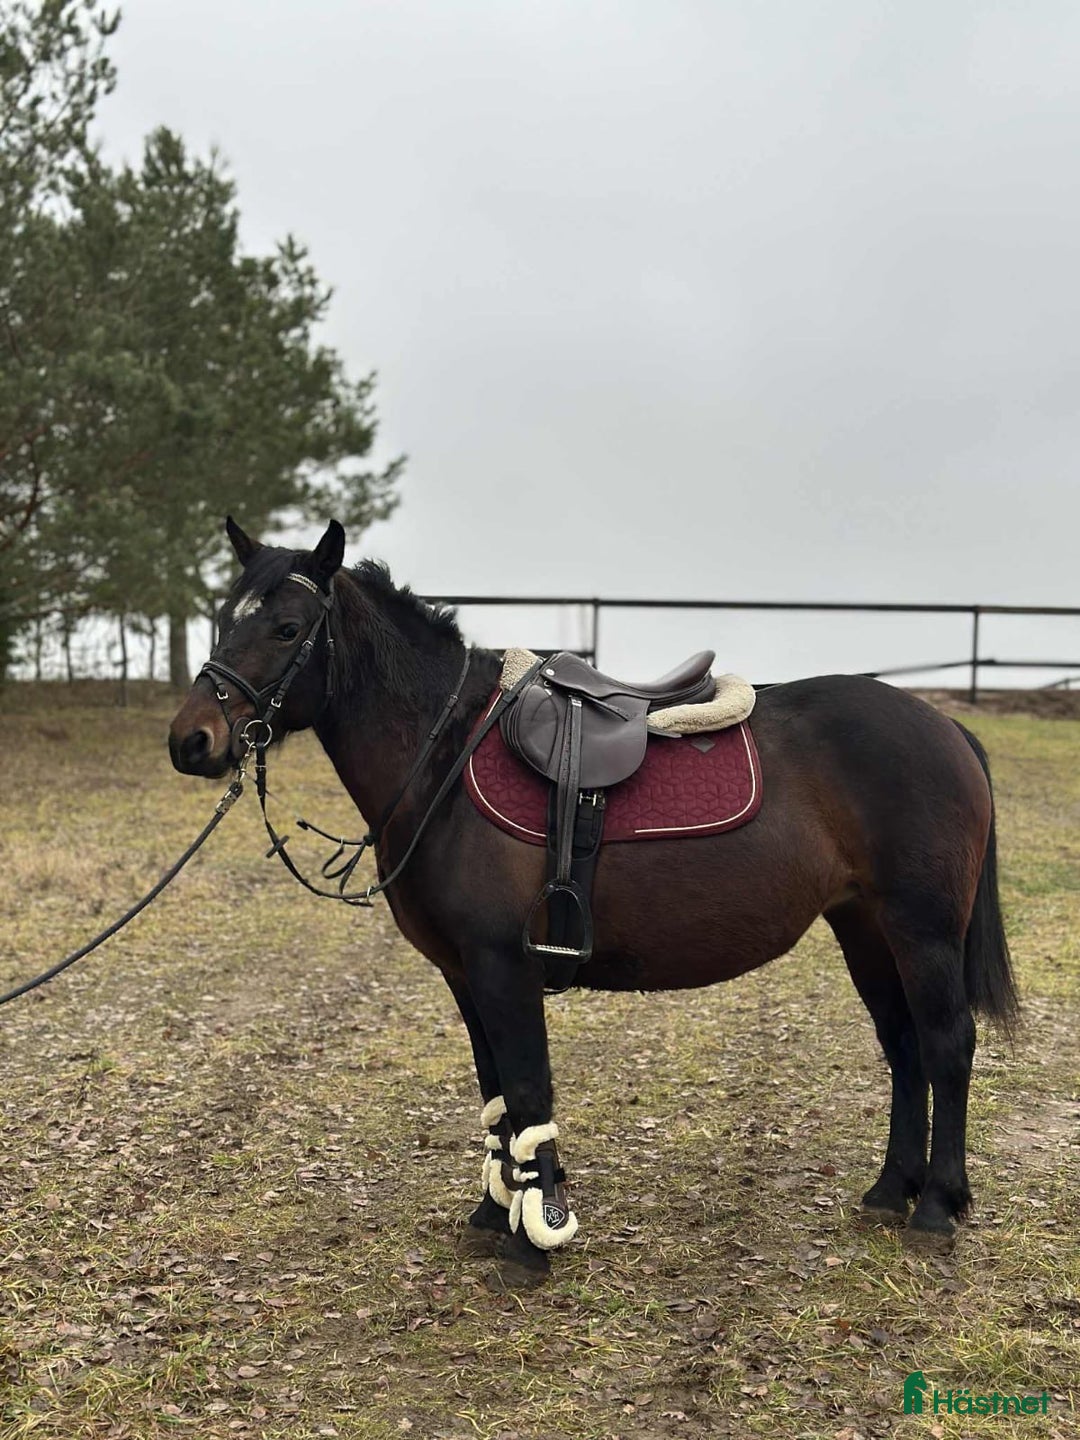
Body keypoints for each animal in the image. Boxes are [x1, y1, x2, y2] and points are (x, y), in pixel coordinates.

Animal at [168, 518, 1018, 1286]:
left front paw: (535, 1236)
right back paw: (890, 1191)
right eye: (222, 618)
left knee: (946, 1043)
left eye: (286, 627)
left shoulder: (502, 966)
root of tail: (945, 726)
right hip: (864, 928)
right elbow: (496, 1094)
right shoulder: (464, 975)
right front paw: (495, 1212)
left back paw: (937, 1206)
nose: (191, 740)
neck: (443, 761)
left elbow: (527, 1087)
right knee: (903, 1046)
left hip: (921, 930)